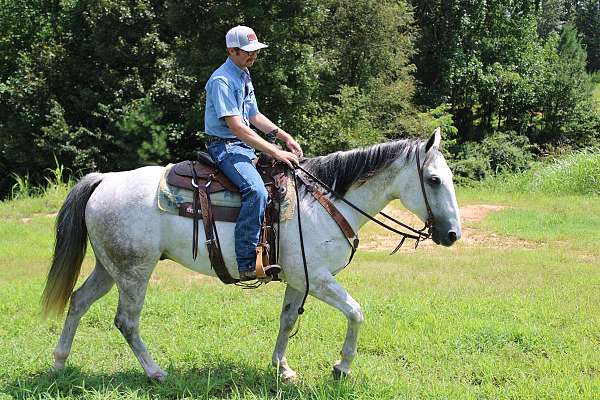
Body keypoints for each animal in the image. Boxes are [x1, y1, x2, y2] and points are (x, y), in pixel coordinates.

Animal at [42, 128, 462, 382]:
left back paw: (60, 361)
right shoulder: (319, 279)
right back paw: (156, 372)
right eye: (433, 180)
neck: (322, 200)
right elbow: (356, 312)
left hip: (109, 266)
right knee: (126, 321)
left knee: (78, 302)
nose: (453, 235)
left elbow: (287, 321)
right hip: (134, 271)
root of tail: (104, 180)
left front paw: (282, 368)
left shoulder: (299, 280)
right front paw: (341, 367)